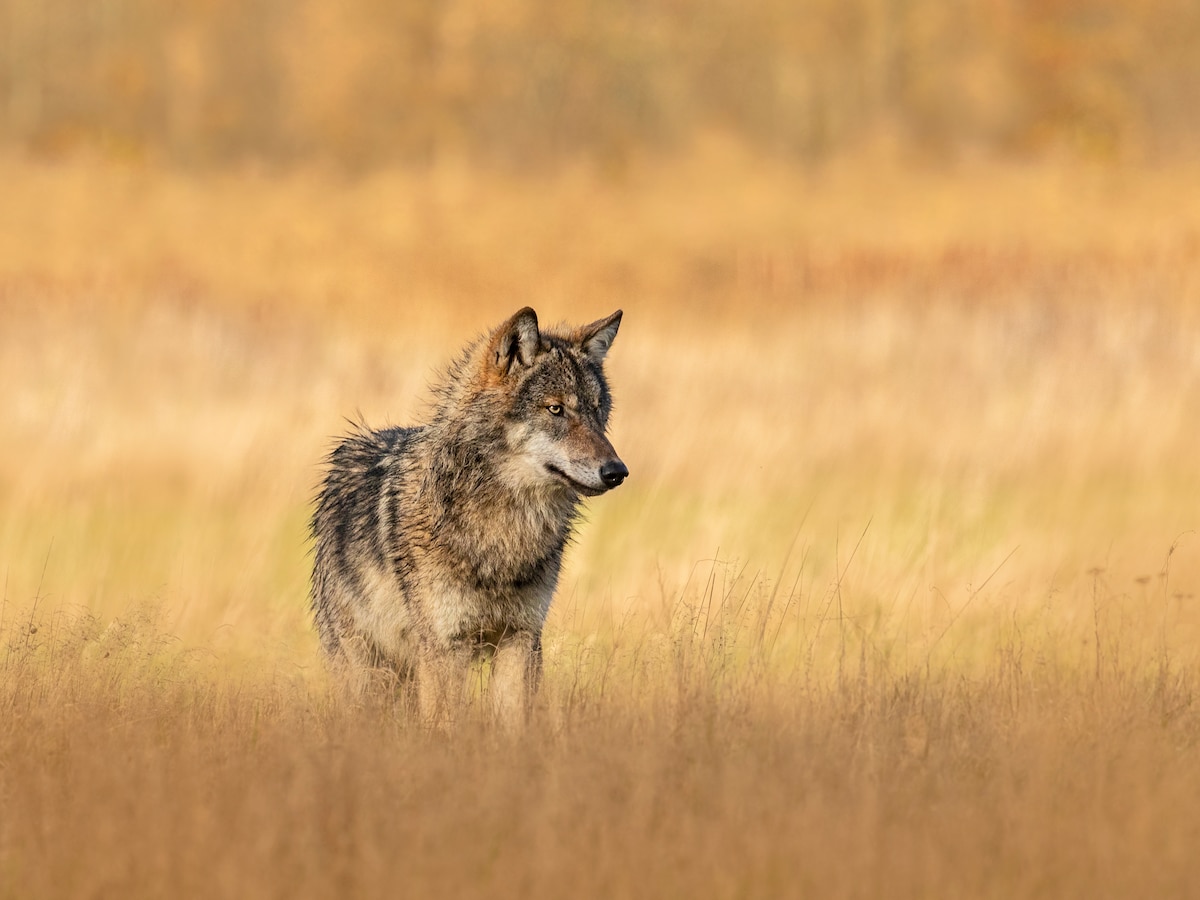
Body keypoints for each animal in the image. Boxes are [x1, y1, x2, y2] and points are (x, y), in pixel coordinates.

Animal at [310, 307, 627, 724]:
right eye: (556, 409)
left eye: (597, 410)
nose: (617, 471)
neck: (505, 532)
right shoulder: (446, 648)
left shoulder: (521, 639)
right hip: (367, 672)